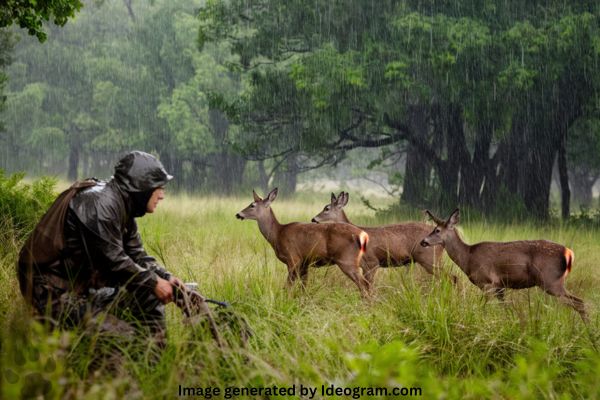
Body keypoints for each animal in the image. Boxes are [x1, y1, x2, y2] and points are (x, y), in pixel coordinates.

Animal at [234, 188, 370, 296]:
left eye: (252, 205)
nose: (238, 214)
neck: (277, 234)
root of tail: (362, 235)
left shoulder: (293, 258)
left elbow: (288, 286)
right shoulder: (305, 262)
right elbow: (303, 287)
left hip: (346, 259)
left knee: (364, 283)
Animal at [420, 209, 584, 318]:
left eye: (437, 230)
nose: (423, 241)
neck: (468, 257)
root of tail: (569, 253)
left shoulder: (487, 282)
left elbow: (482, 307)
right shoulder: (500, 286)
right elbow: (505, 309)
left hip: (550, 280)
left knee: (579, 302)